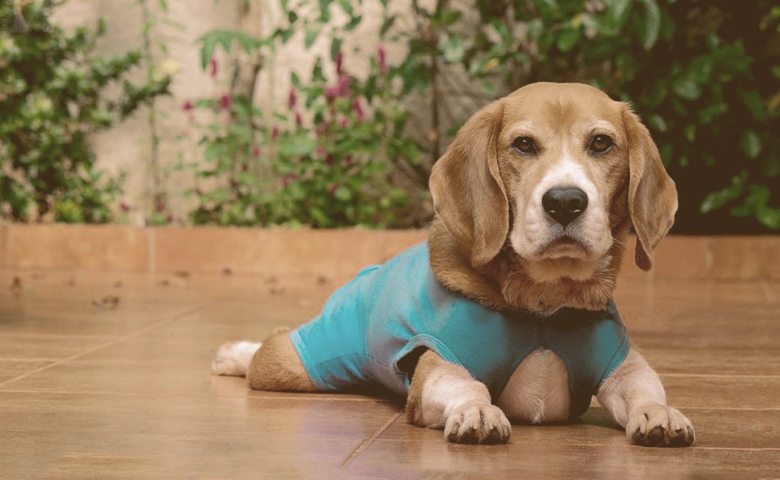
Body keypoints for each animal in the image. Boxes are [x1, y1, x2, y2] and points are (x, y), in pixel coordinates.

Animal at [212, 81, 696, 446]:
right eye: (523, 145)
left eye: (601, 143)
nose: (564, 201)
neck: (545, 303)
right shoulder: (436, 366)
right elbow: (468, 385)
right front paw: (477, 410)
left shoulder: (624, 365)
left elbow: (645, 388)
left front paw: (659, 413)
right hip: (299, 361)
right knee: (271, 343)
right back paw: (234, 353)